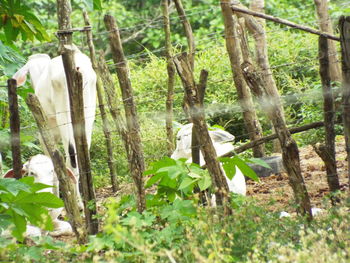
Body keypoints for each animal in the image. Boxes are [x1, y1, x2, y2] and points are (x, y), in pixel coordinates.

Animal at [12, 44, 96, 208]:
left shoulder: (43, 135)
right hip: (89, 114)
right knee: (82, 155)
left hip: (65, 116)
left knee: (71, 159)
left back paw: (77, 203)